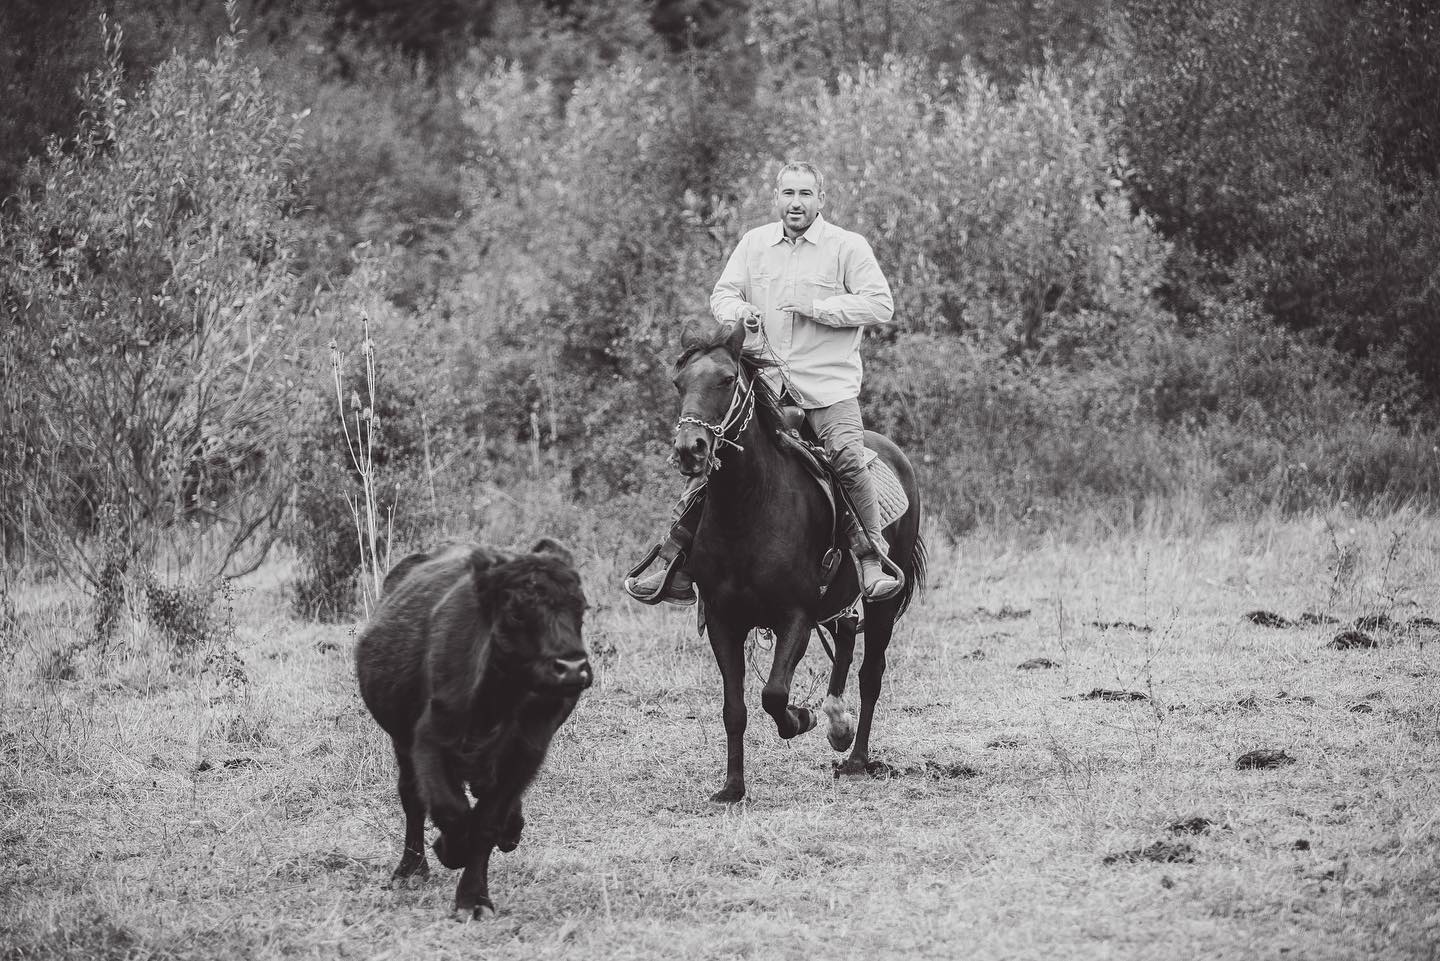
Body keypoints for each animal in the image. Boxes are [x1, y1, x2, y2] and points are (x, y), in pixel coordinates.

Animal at [355, 538, 591, 918]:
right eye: (515, 612)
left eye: (580, 607)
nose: (571, 668)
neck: (496, 701)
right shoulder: (428, 742)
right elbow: (450, 811)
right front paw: (449, 851)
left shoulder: (527, 752)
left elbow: (486, 822)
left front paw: (473, 898)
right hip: (402, 744)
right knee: (412, 799)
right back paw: (410, 870)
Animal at [670, 320, 926, 802]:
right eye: (679, 383)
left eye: (726, 380)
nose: (689, 449)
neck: (748, 509)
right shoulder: (722, 621)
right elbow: (734, 708)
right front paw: (732, 788)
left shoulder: (796, 617)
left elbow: (773, 694)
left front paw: (801, 718)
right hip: (838, 603)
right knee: (845, 639)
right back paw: (838, 724)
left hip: (881, 604)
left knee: (871, 673)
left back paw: (856, 758)